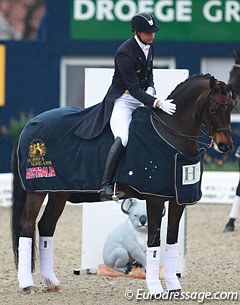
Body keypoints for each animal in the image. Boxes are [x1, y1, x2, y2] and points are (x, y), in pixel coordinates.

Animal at [10, 72, 232, 294]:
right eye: (213, 109)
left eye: (231, 107)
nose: (225, 146)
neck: (170, 133)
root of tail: (29, 124)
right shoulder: (154, 198)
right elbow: (153, 242)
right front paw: (155, 288)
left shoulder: (177, 199)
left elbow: (171, 239)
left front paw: (173, 287)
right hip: (37, 190)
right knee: (27, 227)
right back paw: (27, 284)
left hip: (58, 192)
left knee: (46, 226)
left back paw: (50, 282)